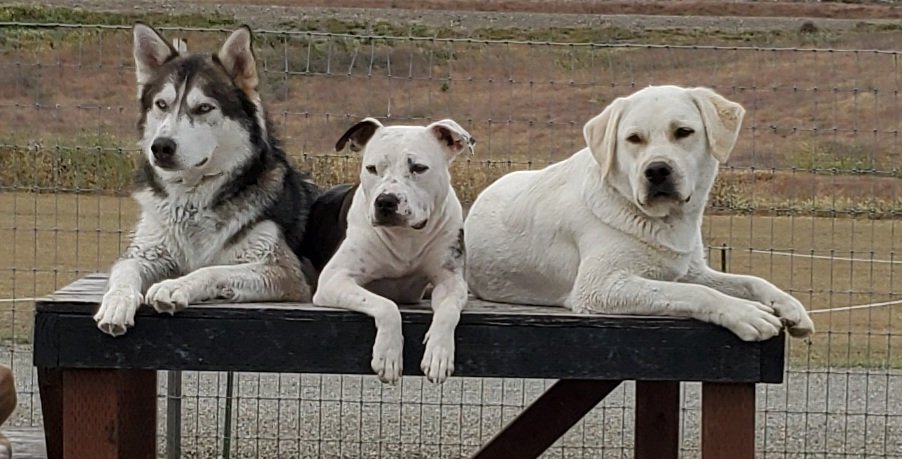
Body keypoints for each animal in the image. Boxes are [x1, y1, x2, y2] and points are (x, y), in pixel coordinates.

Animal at [94, 23, 322, 336]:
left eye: (203, 108)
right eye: (161, 104)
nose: (161, 147)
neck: (191, 200)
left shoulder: (285, 272)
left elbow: (212, 269)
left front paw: (174, 286)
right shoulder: (143, 253)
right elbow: (124, 272)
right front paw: (116, 303)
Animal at [310, 117, 476, 384]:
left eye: (418, 168)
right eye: (372, 168)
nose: (386, 201)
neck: (405, 236)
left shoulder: (451, 281)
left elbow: (449, 310)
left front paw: (439, 353)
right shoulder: (334, 280)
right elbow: (387, 305)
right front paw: (388, 354)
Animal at [466, 85, 820, 342]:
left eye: (683, 132)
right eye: (634, 138)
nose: (657, 170)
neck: (661, 220)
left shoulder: (690, 270)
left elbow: (749, 280)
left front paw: (789, 306)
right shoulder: (601, 287)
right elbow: (695, 292)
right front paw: (745, 314)